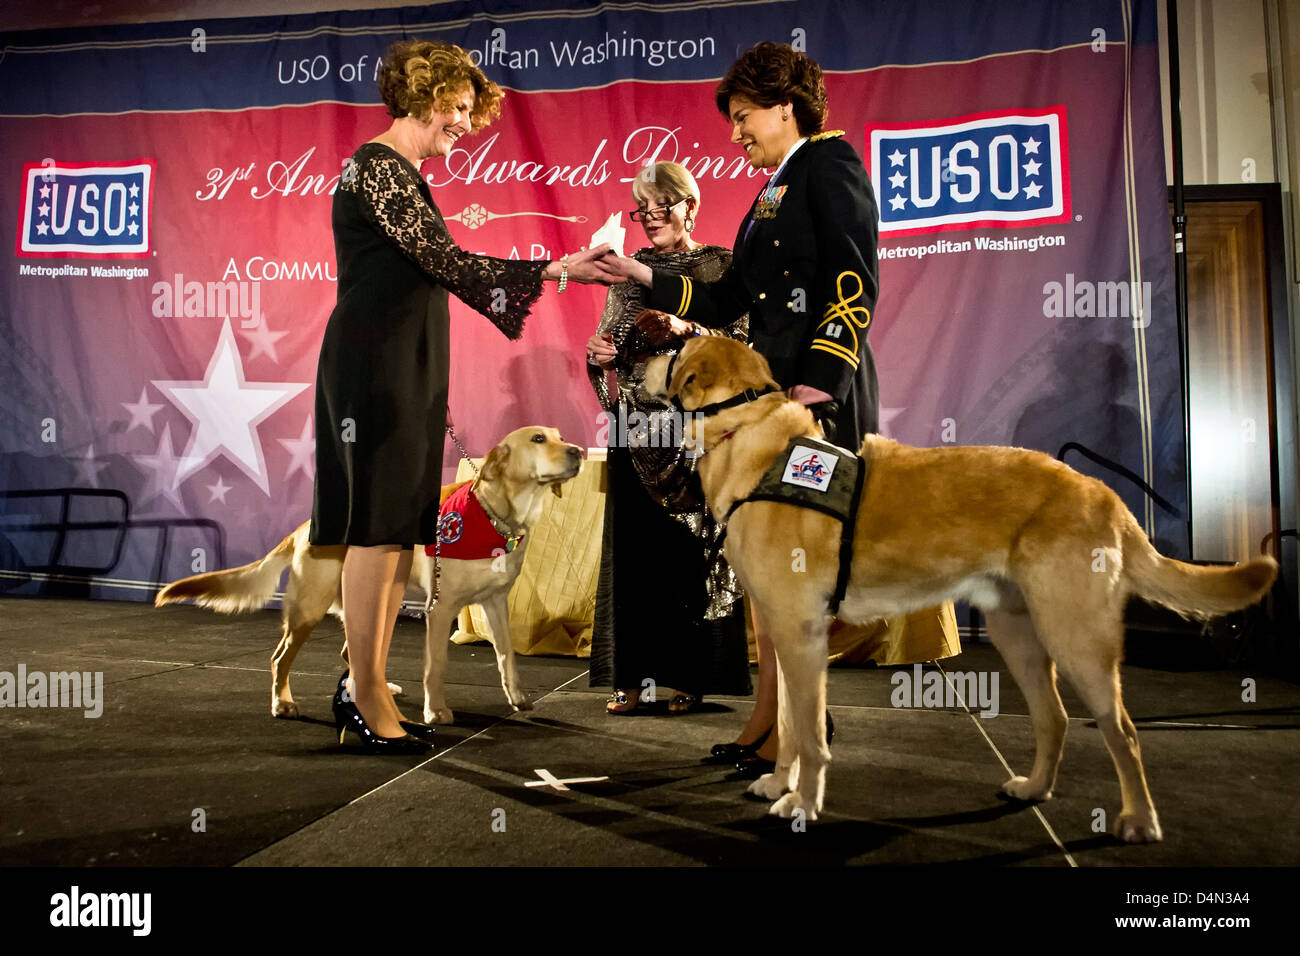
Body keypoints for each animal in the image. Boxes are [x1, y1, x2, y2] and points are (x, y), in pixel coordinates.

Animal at [154, 429, 582, 723]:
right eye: (539, 438)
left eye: (561, 435)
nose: (578, 450)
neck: (496, 517)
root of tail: (305, 527)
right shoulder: (440, 609)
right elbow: (436, 666)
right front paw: (436, 711)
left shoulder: (495, 603)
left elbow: (506, 655)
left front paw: (517, 697)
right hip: (309, 609)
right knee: (280, 658)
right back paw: (282, 703)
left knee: (352, 653)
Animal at [644, 338, 1274, 842]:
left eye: (675, 349)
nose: (643, 355)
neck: (750, 441)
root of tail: (1102, 492)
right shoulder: (778, 630)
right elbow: (790, 727)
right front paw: (778, 782)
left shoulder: (801, 634)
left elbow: (810, 735)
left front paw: (802, 803)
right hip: (1018, 633)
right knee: (1055, 718)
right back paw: (1034, 789)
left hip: (1076, 636)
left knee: (1124, 732)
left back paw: (1139, 820)